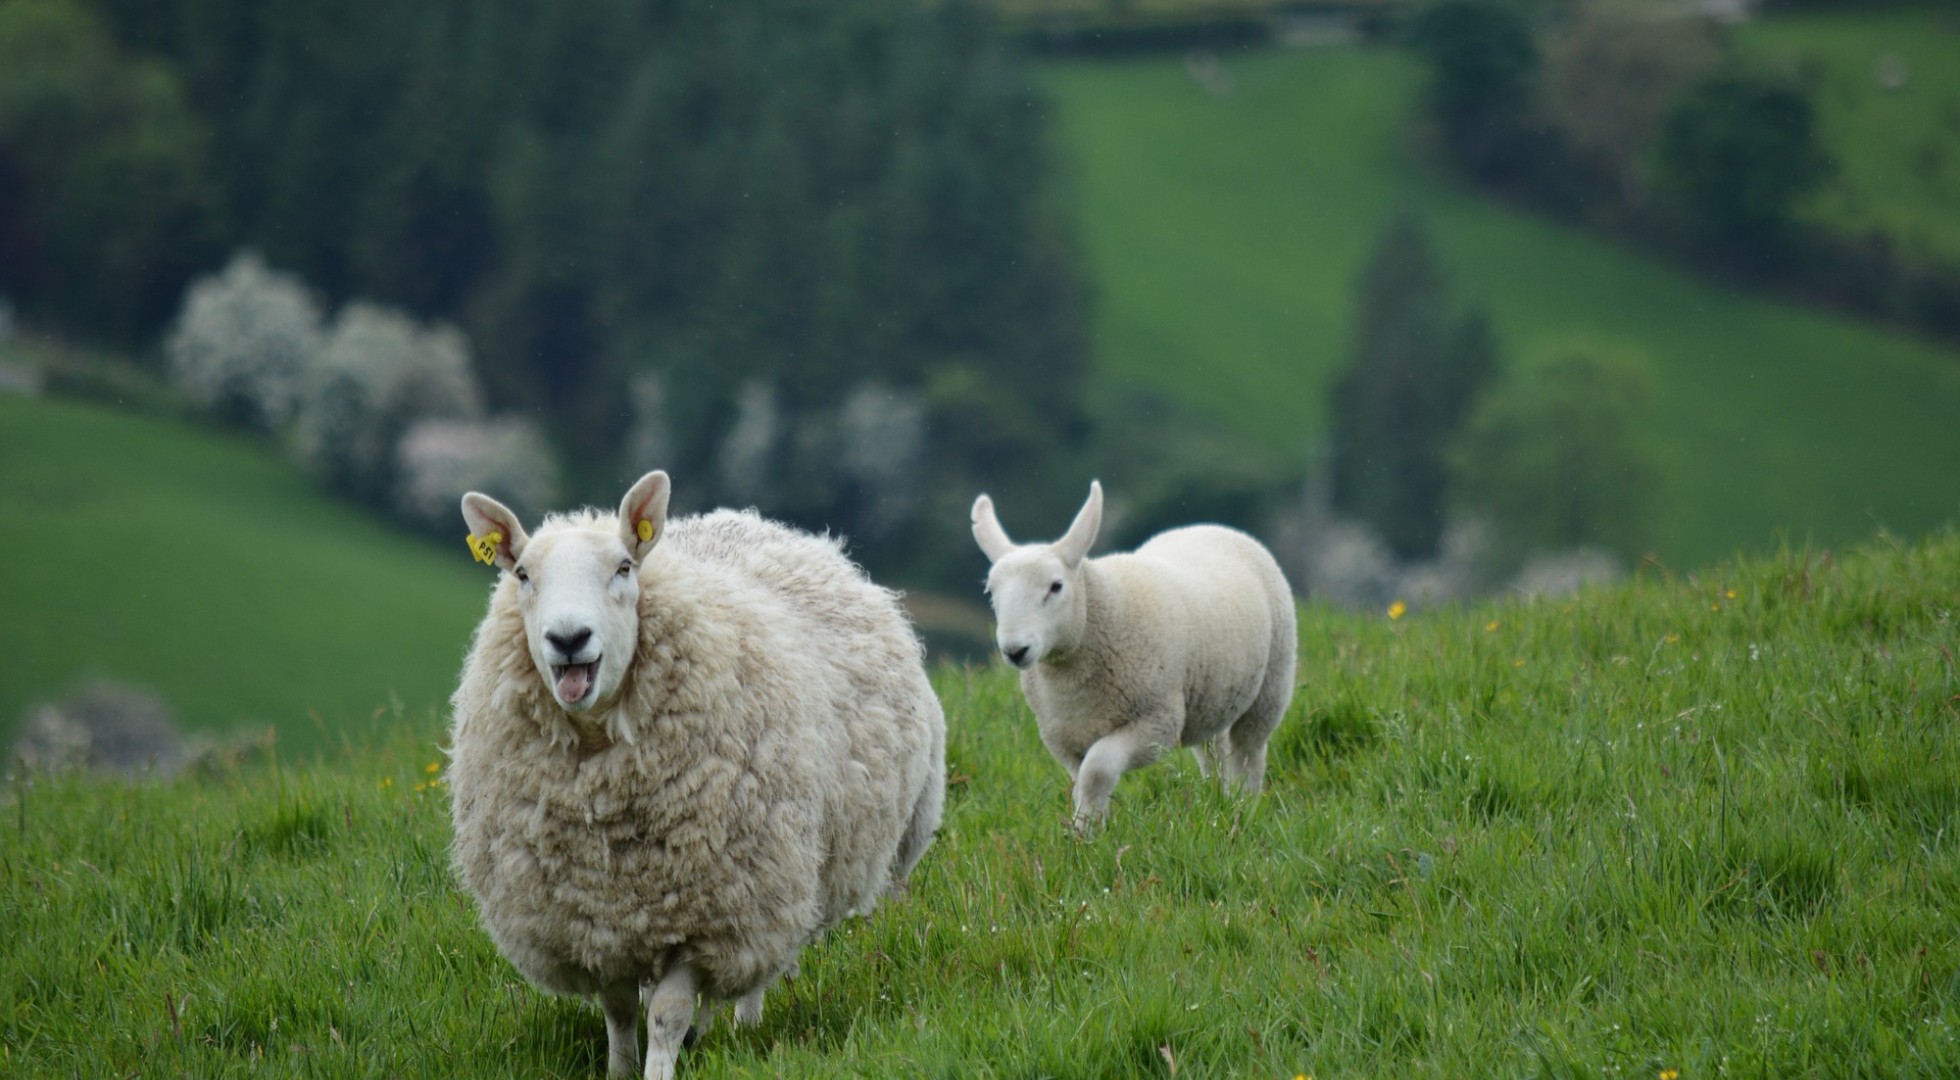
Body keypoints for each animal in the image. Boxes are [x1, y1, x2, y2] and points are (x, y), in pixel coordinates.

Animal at [447, 471, 945, 1080]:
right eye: (522, 574)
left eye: (624, 568)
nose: (568, 640)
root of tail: (755, 523)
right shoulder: (594, 919)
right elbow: (619, 1011)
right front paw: (621, 1070)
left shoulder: (709, 912)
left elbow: (666, 1013)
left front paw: (660, 1068)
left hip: (786, 876)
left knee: (761, 964)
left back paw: (744, 1026)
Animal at [971, 480, 1296, 833]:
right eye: (991, 592)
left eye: (1056, 586)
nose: (1015, 650)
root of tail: (1210, 527)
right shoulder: (1064, 739)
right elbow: (1082, 782)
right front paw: (1088, 828)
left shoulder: (1156, 722)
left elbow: (1097, 769)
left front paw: (1086, 832)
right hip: (1212, 695)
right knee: (1214, 749)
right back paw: (1219, 803)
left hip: (1271, 686)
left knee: (1248, 751)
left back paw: (1244, 805)